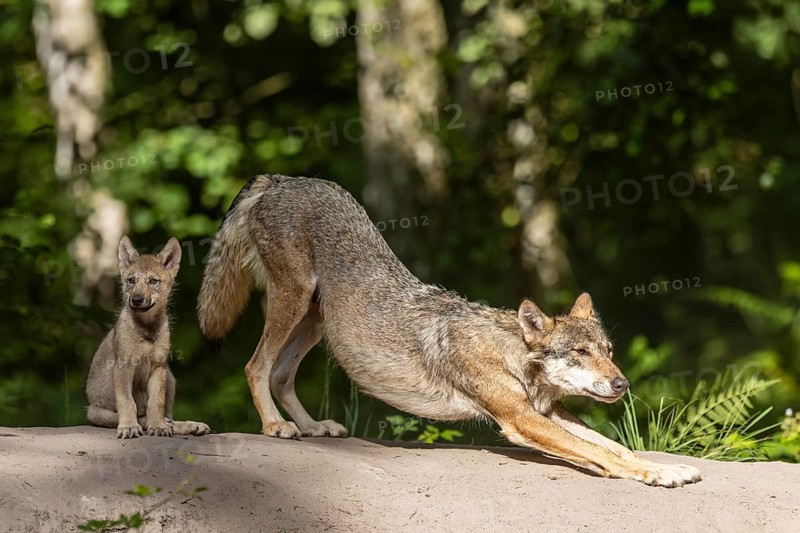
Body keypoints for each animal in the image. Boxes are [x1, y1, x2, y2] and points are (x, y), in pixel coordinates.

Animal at [86, 236, 210, 439]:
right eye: (131, 280)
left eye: (153, 281)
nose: (136, 300)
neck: (147, 329)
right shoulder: (123, 367)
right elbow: (128, 402)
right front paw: (129, 427)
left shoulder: (159, 367)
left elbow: (156, 402)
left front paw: (158, 426)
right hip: (96, 412)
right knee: (138, 414)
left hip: (170, 378)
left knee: (167, 416)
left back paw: (187, 425)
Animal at [197, 175, 701, 487]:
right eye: (580, 353)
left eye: (608, 350)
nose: (622, 384)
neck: (510, 354)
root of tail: (281, 178)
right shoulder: (523, 421)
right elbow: (603, 454)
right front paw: (656, 476)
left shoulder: (550, 412)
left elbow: (617, 448)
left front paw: (666, 469)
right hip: (294, 303)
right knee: (256, 365)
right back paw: (274, 427)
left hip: (315, 322)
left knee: (281, 374)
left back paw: (312, 428)